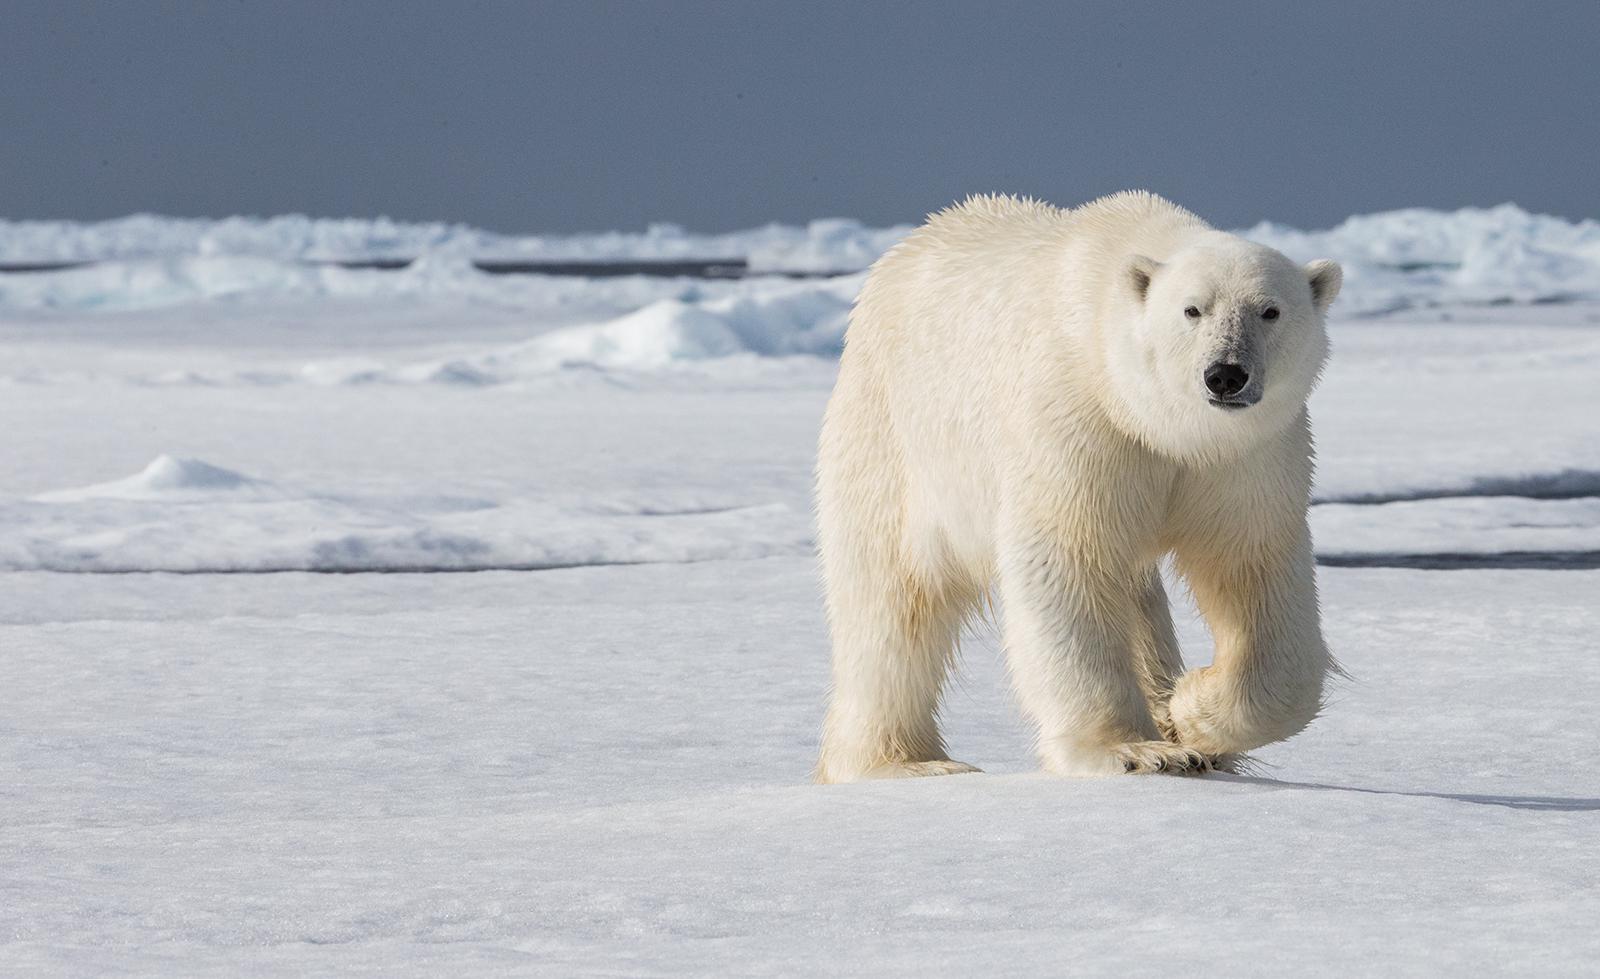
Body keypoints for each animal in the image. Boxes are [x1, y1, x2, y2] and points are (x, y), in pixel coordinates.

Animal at [814, 191, 1342, 782]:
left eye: (1270, 310)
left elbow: (1255, 566)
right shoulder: (1079, 422)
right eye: (1192, 309)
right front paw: (1136, 750)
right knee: (889, 600)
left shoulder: (1245, 459)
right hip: (895, 440)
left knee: (1138, 596)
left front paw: (1191, 720)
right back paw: (905, 762)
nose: (1226, 374)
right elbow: (1069, 559)